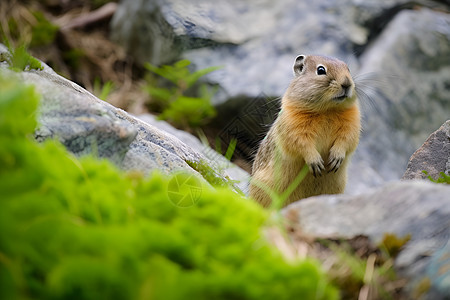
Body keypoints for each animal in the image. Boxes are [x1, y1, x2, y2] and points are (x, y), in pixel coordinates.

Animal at [250, 54, 362, 206]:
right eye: (321, 70)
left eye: (348, 69)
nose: (347, 83)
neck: (328, 110)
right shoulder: (294, 129)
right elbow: (303, 145)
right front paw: (317, 164)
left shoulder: (351, 127)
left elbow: (346, 142)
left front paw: (335, 159)